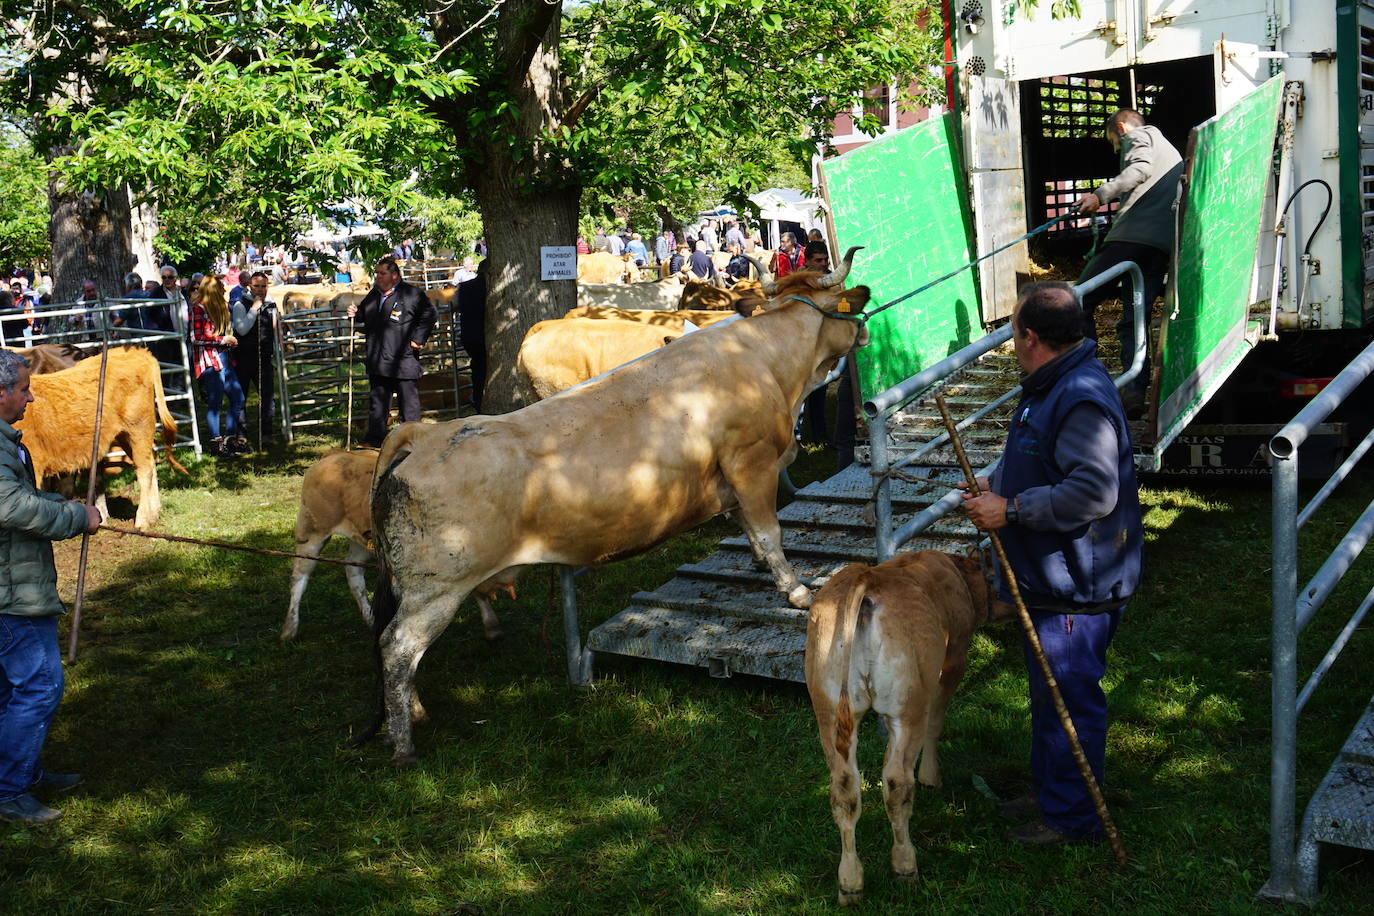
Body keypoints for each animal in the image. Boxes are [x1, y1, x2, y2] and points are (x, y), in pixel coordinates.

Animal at [18, 343, 185, 530]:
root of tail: (137, 352)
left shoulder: (35, 462)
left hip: (139, 427)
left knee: (145, 470)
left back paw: (142, 519)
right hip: (126, 435)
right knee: (151, 461)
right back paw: (154, 513)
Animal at [802, 549, 1005, 906]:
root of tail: (865, 577)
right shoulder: (953, 659)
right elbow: (936, 722)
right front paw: (931, 777)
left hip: (827, 706)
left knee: (844, 789)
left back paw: (850, 882)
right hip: (908, 703)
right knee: (897, 782)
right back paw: (905, 867)